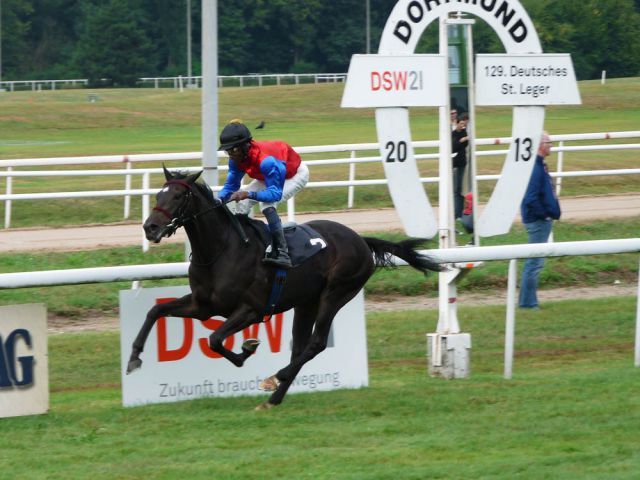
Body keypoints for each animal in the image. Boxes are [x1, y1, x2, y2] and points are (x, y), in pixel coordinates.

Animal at [129, 168, 440, 408]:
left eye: (178, 196)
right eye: (157, 195)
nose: (150, 227)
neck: (220, 251)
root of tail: (361, 239)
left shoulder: (251, 310)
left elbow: (216, 339)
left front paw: (247, 349)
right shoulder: (202, 305)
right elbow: (156, 311)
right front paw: (134, 358)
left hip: (337, 293)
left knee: (316, 343)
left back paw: (274, 378)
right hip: (307, 302)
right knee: (300, 347)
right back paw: (275, 398)